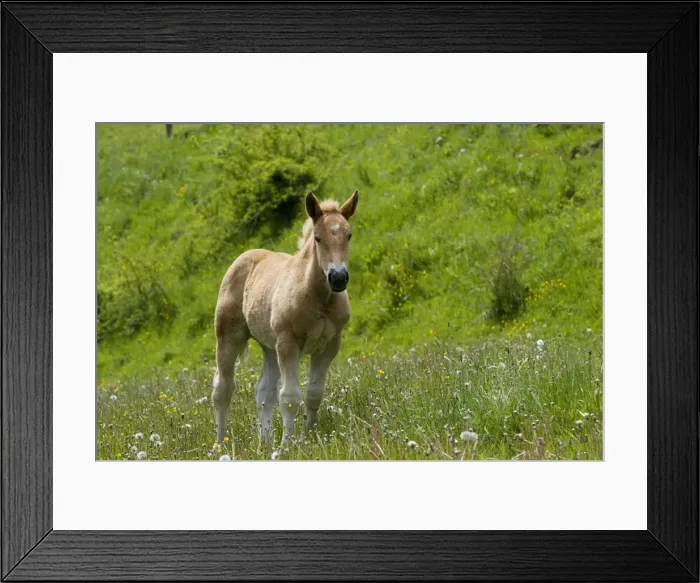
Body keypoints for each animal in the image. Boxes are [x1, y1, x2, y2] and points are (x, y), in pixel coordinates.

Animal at [212, 189, 359, 446]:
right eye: (318, 238)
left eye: (348, 235)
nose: (338, 278)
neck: (318, 298)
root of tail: (246, 254)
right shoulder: (289, 342)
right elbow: (290, 397)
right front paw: (288, 444)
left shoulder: (329, 345)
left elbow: (314, 394)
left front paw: (307, 435)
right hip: (229, 336)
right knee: (223, 388)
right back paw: (221, 443)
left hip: (270, 346)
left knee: (264, 391)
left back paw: (265, 442)